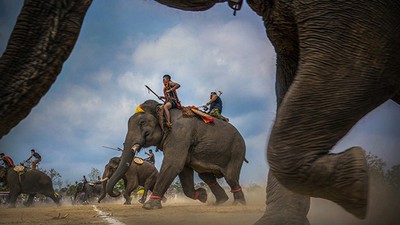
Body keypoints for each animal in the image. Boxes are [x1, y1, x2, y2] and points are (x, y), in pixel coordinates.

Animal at [106, 100, 247, 209]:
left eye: (142, 123)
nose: (117, 192)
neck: (162, 109)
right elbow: (184, 169)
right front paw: (202, 195)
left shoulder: (179, 134)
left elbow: (173, 164)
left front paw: (148, 207)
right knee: (206, 176)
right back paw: (219, 201)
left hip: (237, 150)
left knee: (230, 177)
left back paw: (238, 204)